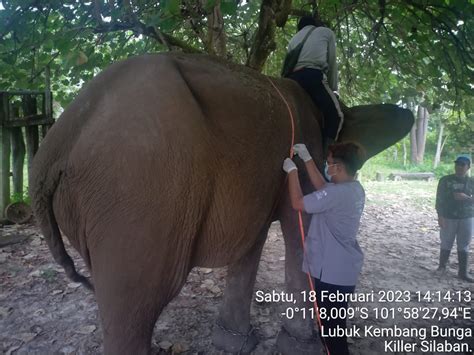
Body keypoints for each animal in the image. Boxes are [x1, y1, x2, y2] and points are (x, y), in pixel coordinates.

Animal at [28, 51, 412, 354]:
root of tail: (55, 143)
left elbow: (253, 242)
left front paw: (233, 343)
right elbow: (298, 226)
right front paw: (303, 347)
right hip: (138, 193)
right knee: (137, 303)